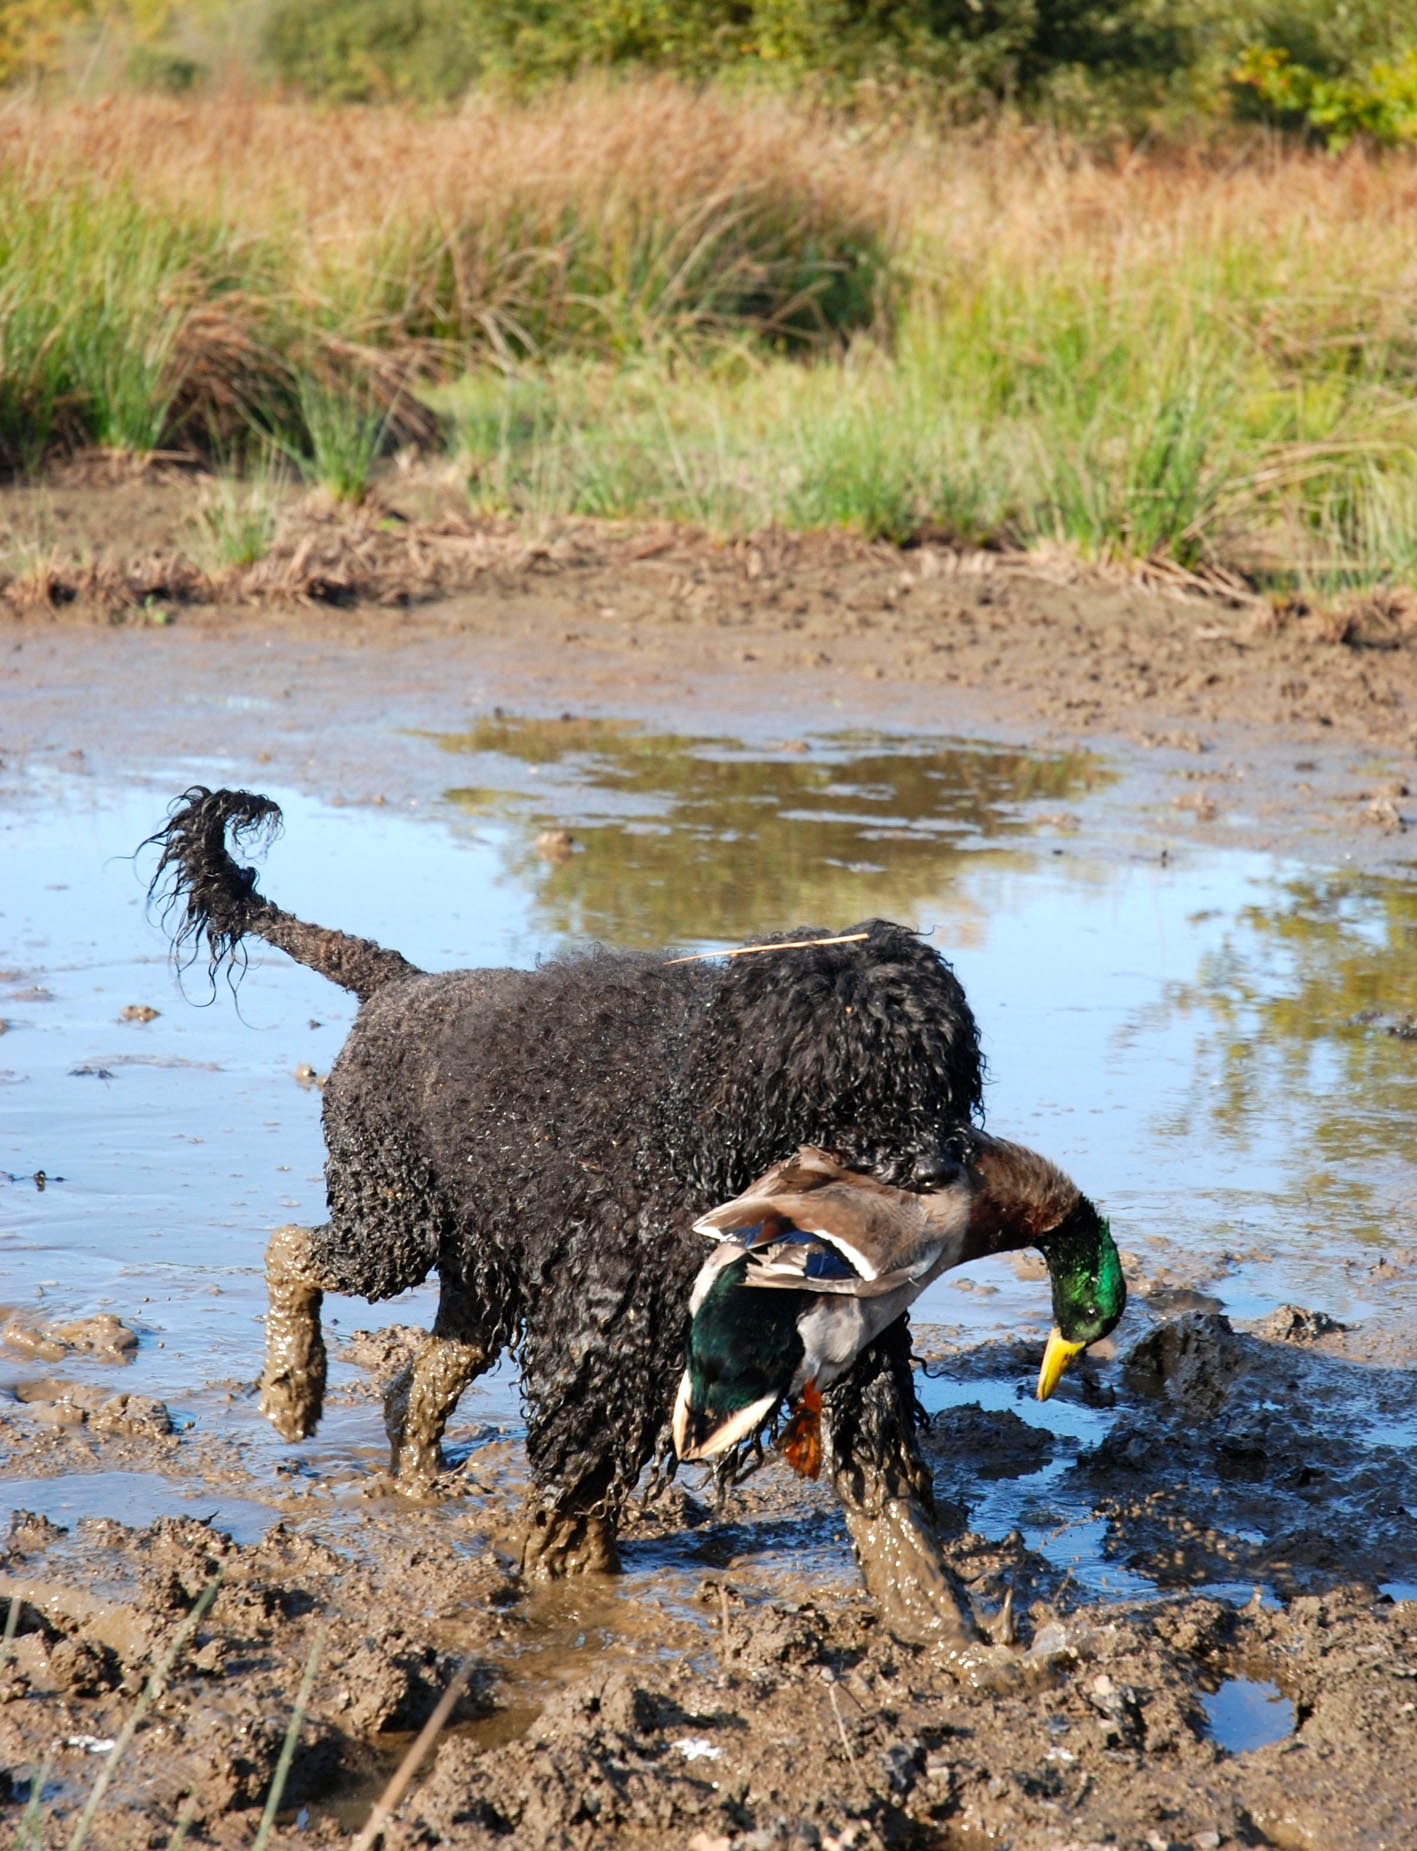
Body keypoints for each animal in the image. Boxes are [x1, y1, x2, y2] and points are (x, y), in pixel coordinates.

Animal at [144, 788, 991, 1643]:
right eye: (850, 1092)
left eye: (945, 1078)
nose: (935, 1174)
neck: (696, 1122)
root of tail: (397, 984)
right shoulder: (599, 1336)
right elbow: (577, 1489)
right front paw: (568, 1598)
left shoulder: (841, 1335)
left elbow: (883, 1493)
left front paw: (941, 1625)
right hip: (390, 1219)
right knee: (291, 1250)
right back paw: (292, 1387)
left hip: (475, 1275)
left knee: (427, 1374)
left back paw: (414, 1480)